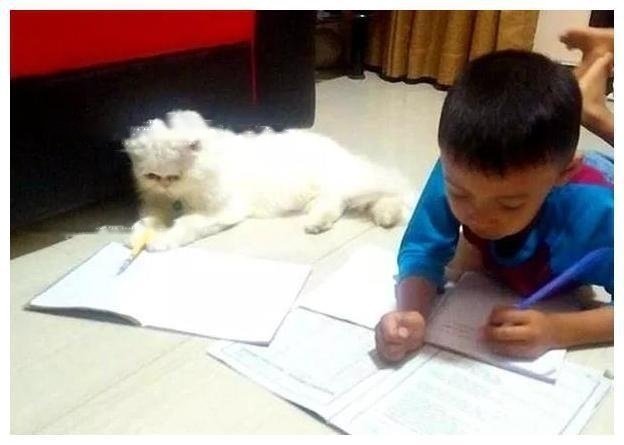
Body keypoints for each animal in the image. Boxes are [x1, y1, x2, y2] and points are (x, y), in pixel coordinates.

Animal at [124, 110, 412, 251]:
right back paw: (318, 225)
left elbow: (184, 225)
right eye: (152, 176)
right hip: (328, 195)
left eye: (174, 176)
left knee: (393, 189)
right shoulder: (155, 203)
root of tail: (342, 152)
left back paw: (386, 217)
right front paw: (138, 237)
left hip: (357, 183)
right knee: (335, 206)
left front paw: (158, 241)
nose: (165, 184)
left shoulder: (221, 211)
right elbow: (148, 221)